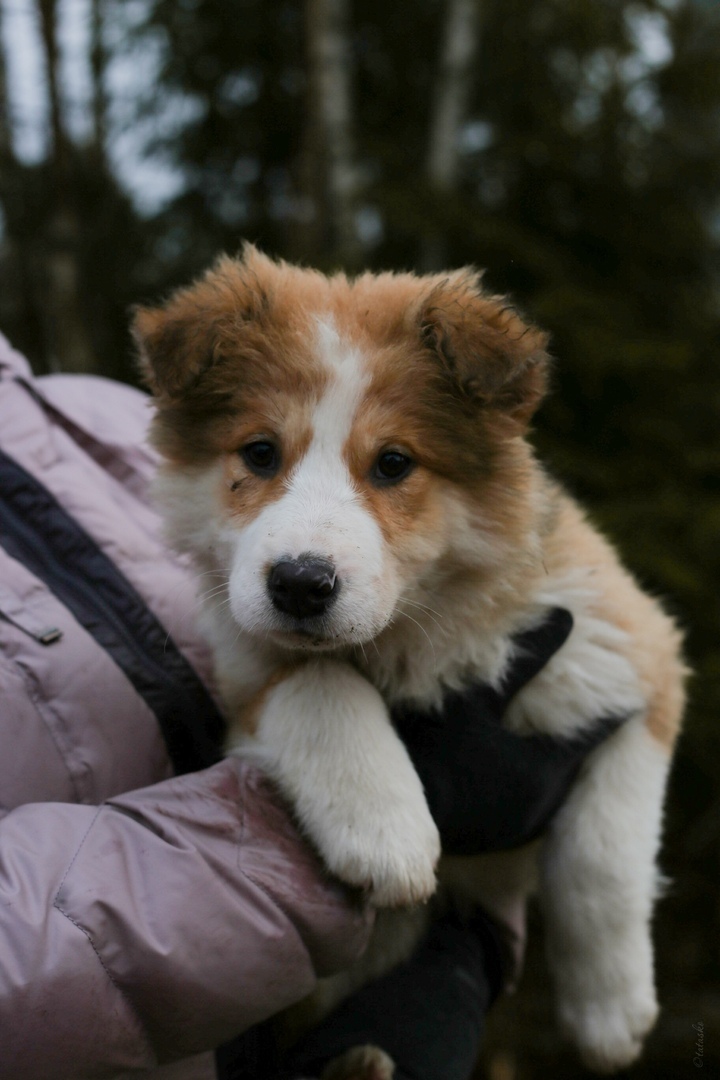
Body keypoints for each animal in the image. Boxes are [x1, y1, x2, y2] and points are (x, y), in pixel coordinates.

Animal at [133, 248, 686, 1075]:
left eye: (394, 463)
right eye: (259, 453)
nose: (300, 584)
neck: (417, 630)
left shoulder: (630, 656)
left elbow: (603, 855)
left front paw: (610, 1013)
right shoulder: (245, 667)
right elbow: (319, 682)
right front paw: (385, 830)